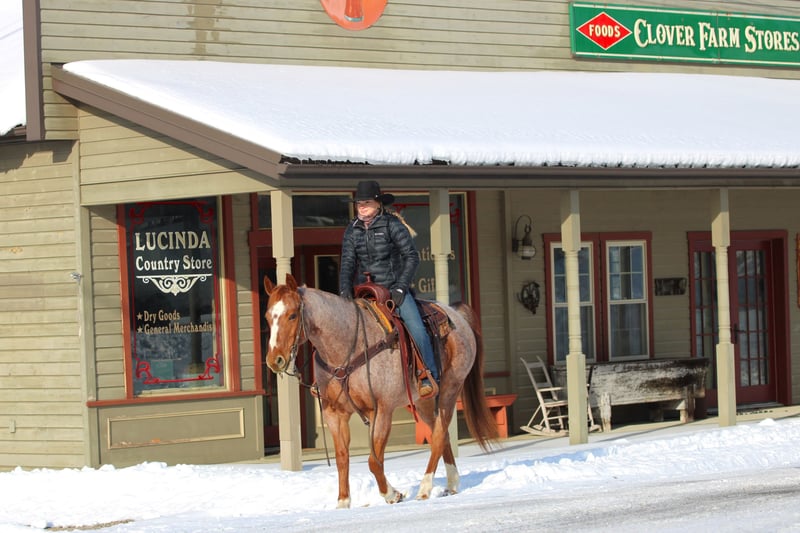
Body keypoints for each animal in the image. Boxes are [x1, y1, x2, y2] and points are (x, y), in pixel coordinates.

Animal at [263, 273, 499, 508]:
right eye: (267, 317)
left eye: (292, 315)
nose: (275, 360)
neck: (347, 348)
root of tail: (457, 315)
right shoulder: (334, 413)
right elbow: (342, 458)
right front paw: (343, 502)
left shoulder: (381, 411)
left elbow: (373, 461)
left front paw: (392, 494)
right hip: (423, 401)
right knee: (440, 435)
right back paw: (451, 484)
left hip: (450, 390)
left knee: (440, 435)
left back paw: (425, 488)